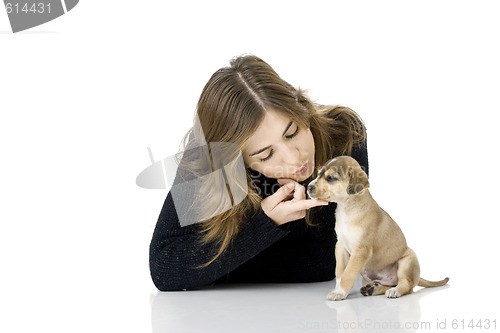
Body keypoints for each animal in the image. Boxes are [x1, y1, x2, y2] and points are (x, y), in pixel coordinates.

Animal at [306, 156, 452, 300]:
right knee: (388, 284)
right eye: (318, 174)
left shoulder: (361, 250)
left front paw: (339, 292)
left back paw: (394, 291)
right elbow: (340, 272)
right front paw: (338, 289)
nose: (308, 187)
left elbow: (348, 274)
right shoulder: (340, 247)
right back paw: (372, 289)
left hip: (408, 261)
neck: (347, 209)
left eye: (330, 177)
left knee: (407, 285)